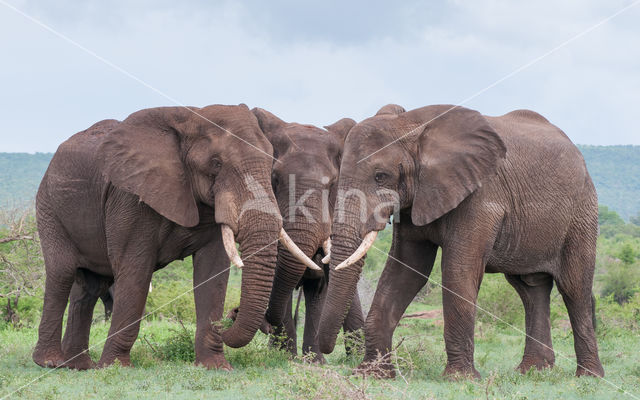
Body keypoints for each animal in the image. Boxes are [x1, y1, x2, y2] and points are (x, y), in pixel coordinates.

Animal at [32, 104, 312, 370]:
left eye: (271, 167)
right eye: (216, 164)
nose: (232, 313)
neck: (191, 118)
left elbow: (212, 273)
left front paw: (216, 367)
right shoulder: (130, 196)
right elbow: (135, 272)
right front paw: (115, 367)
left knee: (89, 288)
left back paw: (78, 366)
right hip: (49, 208)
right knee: (61, 274)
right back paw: (50, 363)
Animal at [225, 107, 364, 362]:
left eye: (332, 184)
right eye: (275, 179)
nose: (233, 312)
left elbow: (320, 286)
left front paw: (315, 362)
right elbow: (280, 280)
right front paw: (285, 358)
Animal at [320, 103, 604, 378]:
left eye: (381, 176)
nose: (327, 350)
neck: (414, 125)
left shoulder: (480, 196)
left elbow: (458, 270)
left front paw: (460, 377)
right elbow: (405, 271)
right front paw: (372, 374)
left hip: (582, 213)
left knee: (574, 287)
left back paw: (588, 376)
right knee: (529, 289)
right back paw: (533, 371)